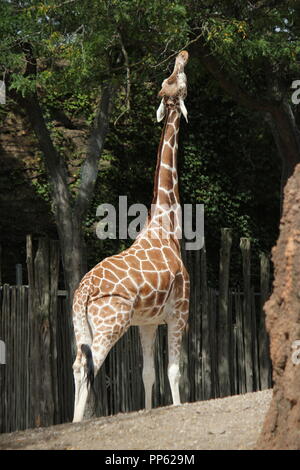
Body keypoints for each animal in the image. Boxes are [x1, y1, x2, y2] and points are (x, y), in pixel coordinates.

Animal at [72, 50, 190, 422]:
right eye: (178, 79)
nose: (183, 53)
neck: (166, 223)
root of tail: (82, 294)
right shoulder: (181, 310)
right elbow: (174, 371)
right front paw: (177, 408)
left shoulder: (147, 321)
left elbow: (148, 373)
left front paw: (149, 410)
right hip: (111, 322)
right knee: (88, 365)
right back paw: (77, 423)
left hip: (82, 325)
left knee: (77, 363)